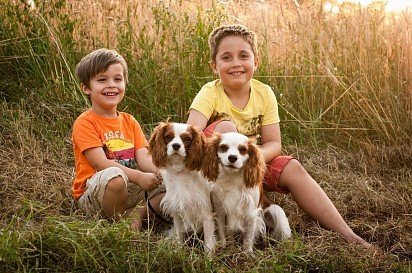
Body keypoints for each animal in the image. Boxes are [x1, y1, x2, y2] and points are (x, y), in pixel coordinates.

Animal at [150, 122, 217, 254]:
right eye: (168, 137)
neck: (180, 172)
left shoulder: (206, 212)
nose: (176, 145)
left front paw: (208, 258)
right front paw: (179, 251)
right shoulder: (176, 212)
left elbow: (208, 241)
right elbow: (179, 235)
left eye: (187, 139)